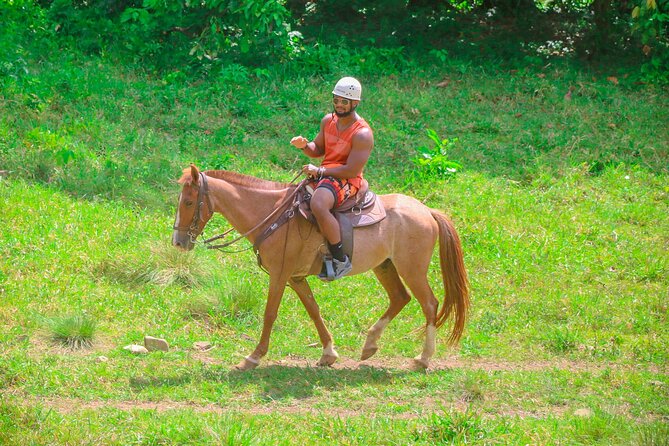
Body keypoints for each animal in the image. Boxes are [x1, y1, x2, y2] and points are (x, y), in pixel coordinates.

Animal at [171, 166, 470, 372]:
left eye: (189, 202)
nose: (178, 241)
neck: (272, 214)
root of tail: (427, 211)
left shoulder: (280, 275)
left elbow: (270, 314)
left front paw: (253, 357)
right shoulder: (295, 278)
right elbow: (313, 310)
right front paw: (328, 353)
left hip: (412, 269)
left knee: (429, 304)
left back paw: (423, 358)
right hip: (384, 266)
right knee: (400, 298)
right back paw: (370, 345)